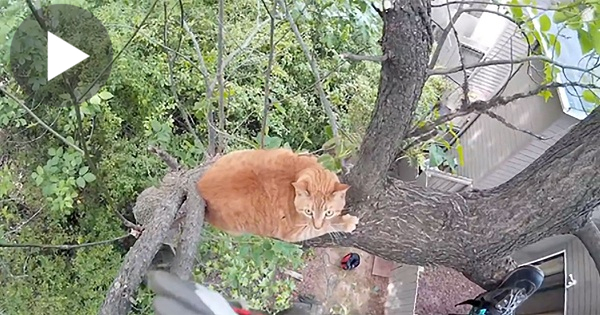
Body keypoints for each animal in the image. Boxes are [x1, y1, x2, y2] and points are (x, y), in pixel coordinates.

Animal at [197, 149, 358, 244]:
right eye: (308, 212)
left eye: (328, 212)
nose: (316, 224)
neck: (296, 173)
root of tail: (201, 185)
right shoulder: (294, 233)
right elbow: (327, 226)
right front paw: (346, 223)